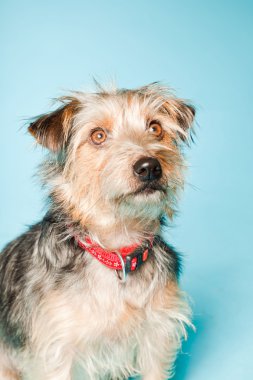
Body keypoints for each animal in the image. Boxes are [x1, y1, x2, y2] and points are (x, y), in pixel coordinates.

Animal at [0, 84, 196, 380]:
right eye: (98, 136)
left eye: (155, 128)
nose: (150, 167)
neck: (116, 250)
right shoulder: (56, 352)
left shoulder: (156, 335)